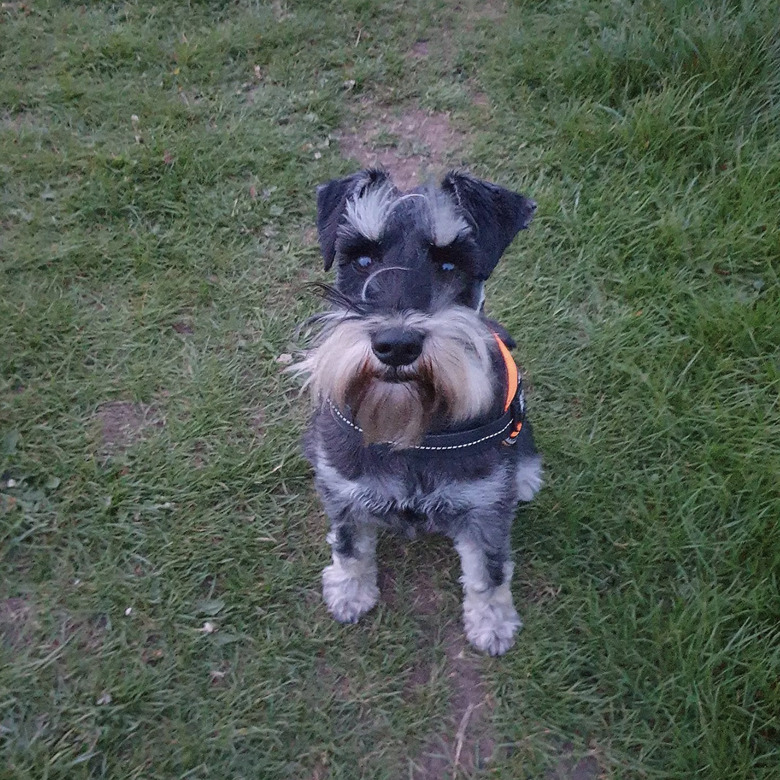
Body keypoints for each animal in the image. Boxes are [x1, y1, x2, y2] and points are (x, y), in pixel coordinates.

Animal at [292, 169, 544, 652]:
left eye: (449, 265)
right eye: (362, 259)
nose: (396, 345)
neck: (411, 428)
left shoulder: (484, 508)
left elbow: (490, 570)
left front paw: (493, 623)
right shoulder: (342, 488)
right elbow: (348, 545)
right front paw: (349, 591)